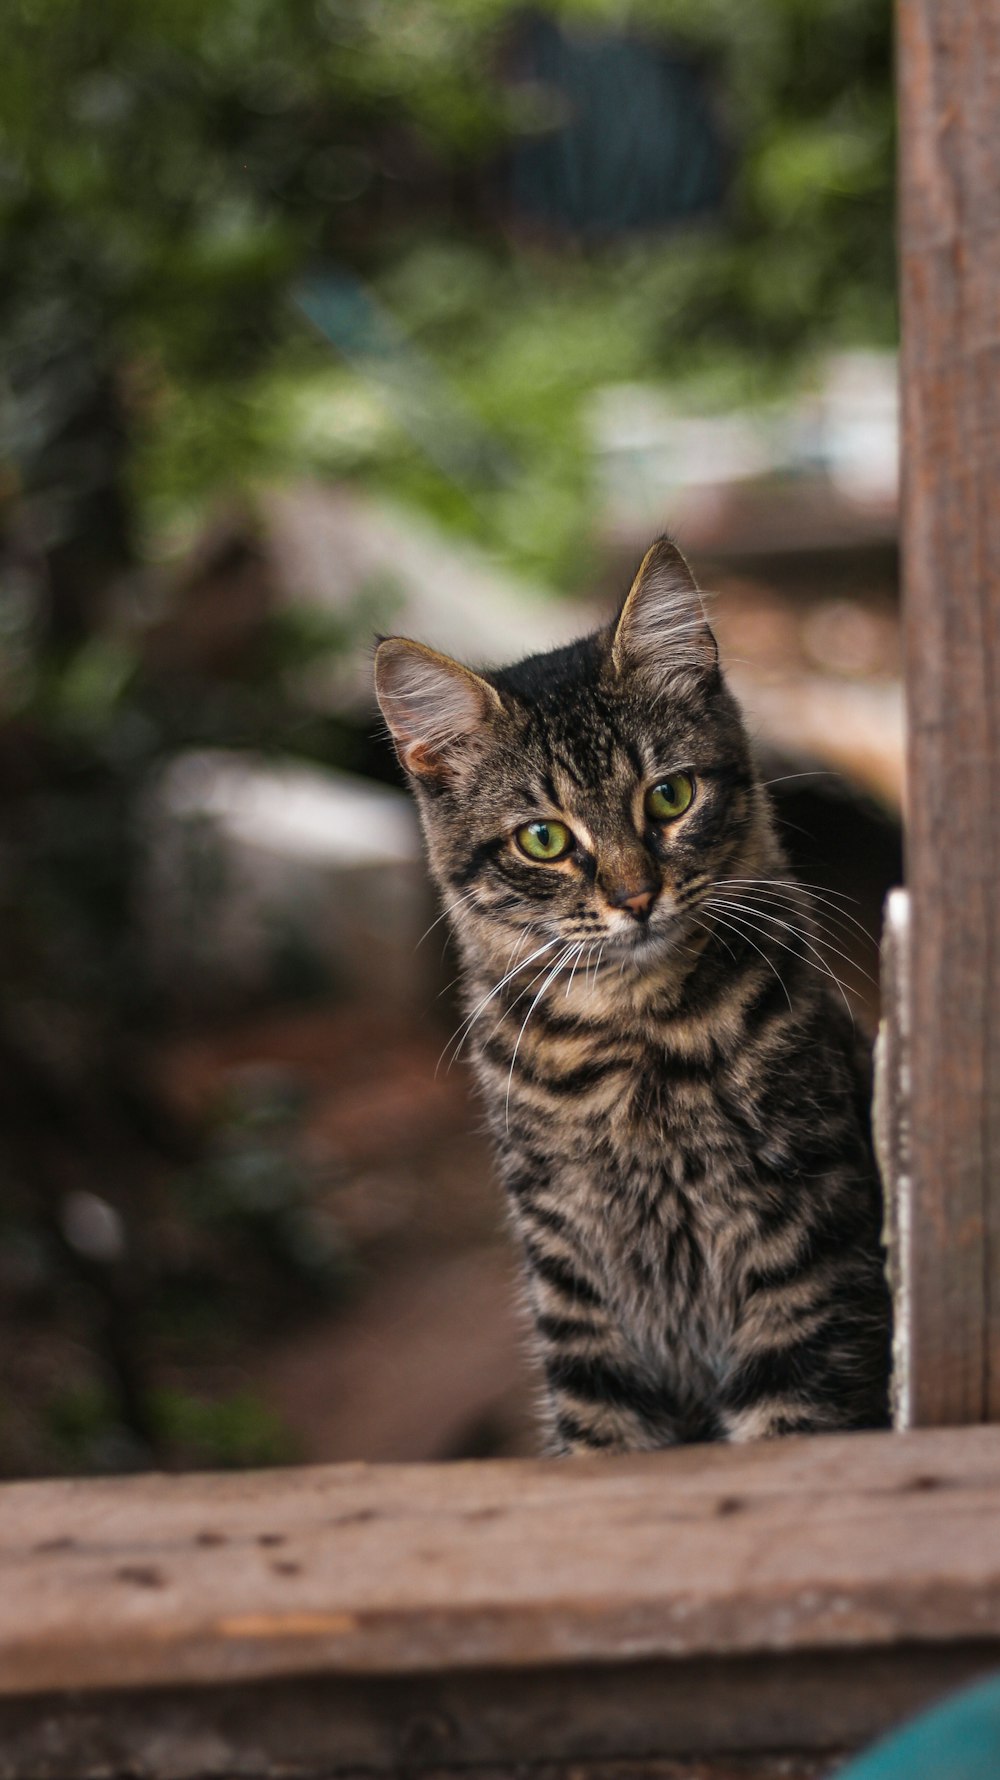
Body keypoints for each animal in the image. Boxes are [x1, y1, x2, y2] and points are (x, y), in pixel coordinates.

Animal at [371, 537, 886, 1445]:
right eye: (545, 840)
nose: (637, 897)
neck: (635, 1044)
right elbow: (599, 1437)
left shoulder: (806, 1253)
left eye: (669, 796)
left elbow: (788, 1429)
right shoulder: (576, 1285)